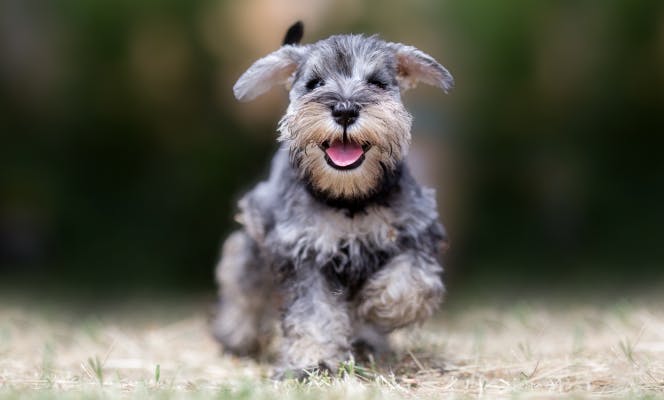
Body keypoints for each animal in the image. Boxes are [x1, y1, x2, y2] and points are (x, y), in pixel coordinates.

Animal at [213, 21, 452, 378]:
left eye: (376, 83)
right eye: (314, 83)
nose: (345, 110)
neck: (348, 199)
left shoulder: (416, 231)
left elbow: (413, 281)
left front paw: (377, 306)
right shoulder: (304, 253)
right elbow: (313, 314)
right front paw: (314, 361)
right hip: (253, 246)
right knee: (242, 283)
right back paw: (235, 335)